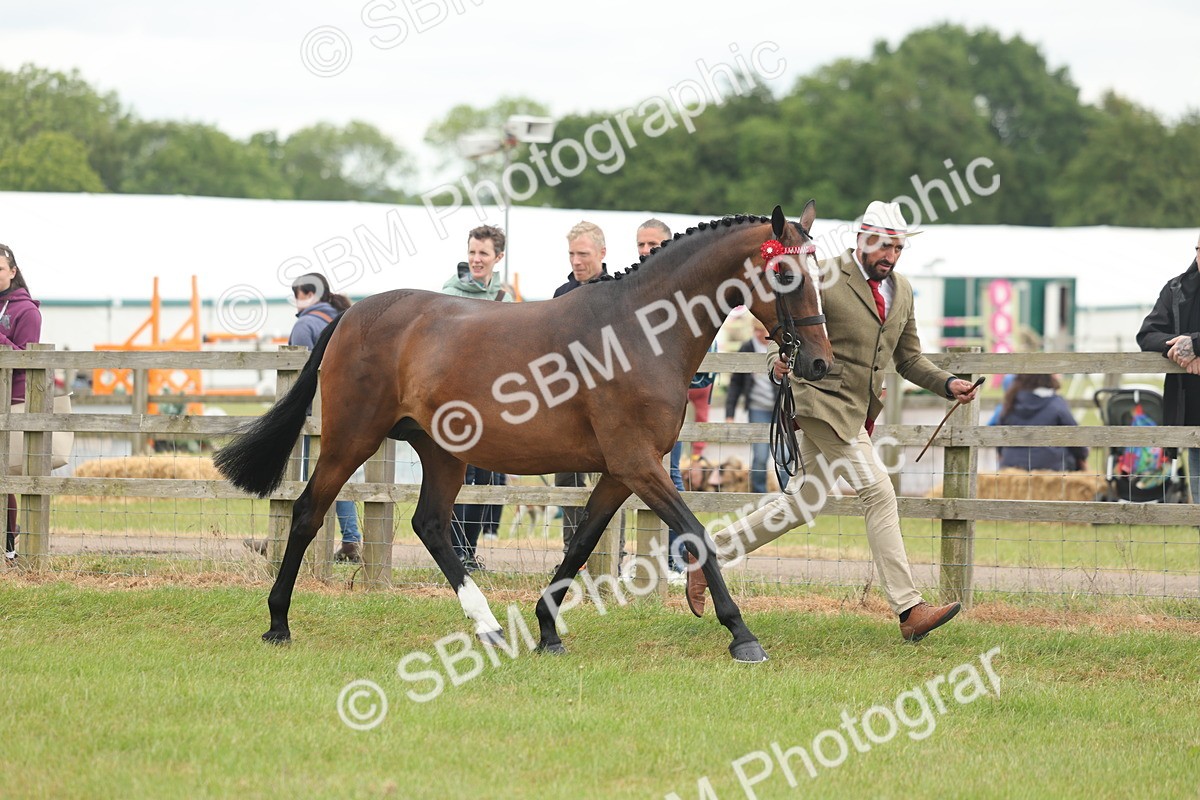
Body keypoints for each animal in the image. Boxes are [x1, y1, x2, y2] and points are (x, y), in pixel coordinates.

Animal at [214, 203, 832, 663]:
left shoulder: (622, 470)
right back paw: (278, 622)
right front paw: (742, 635)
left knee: (430, 524)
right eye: (784, 272)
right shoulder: (638, 464)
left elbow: (581, 543)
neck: (637, 331)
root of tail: (352, 313)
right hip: (351, 439)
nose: (818, 363)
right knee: (308, 512)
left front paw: (548, 630)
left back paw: (488, 626)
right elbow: (695, 533)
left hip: (443, 453)